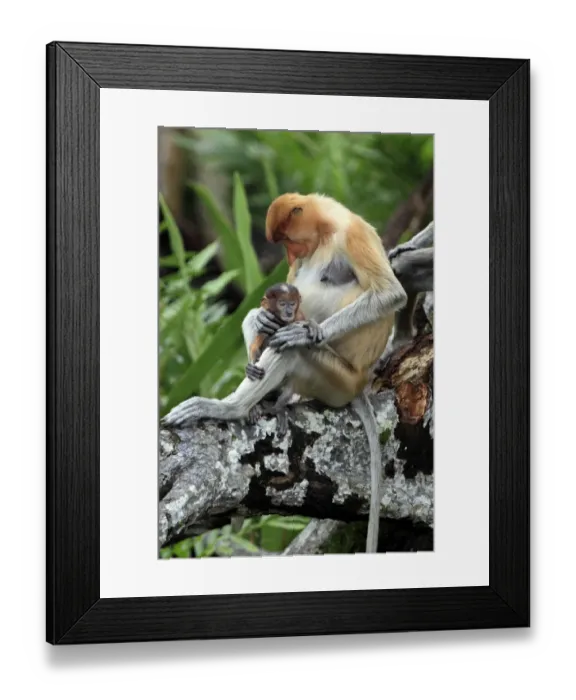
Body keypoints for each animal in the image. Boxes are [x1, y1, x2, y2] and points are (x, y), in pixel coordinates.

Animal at [162, 193, 409, 553]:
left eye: (289, 241)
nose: (291, 257)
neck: (327, 230)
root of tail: (359, 384)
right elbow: (270, 305)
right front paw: (264, 320)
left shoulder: (354, 234)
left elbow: (390, 293)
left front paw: (305, 332)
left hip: (335, 378)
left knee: (289, 350)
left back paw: (231, 407)